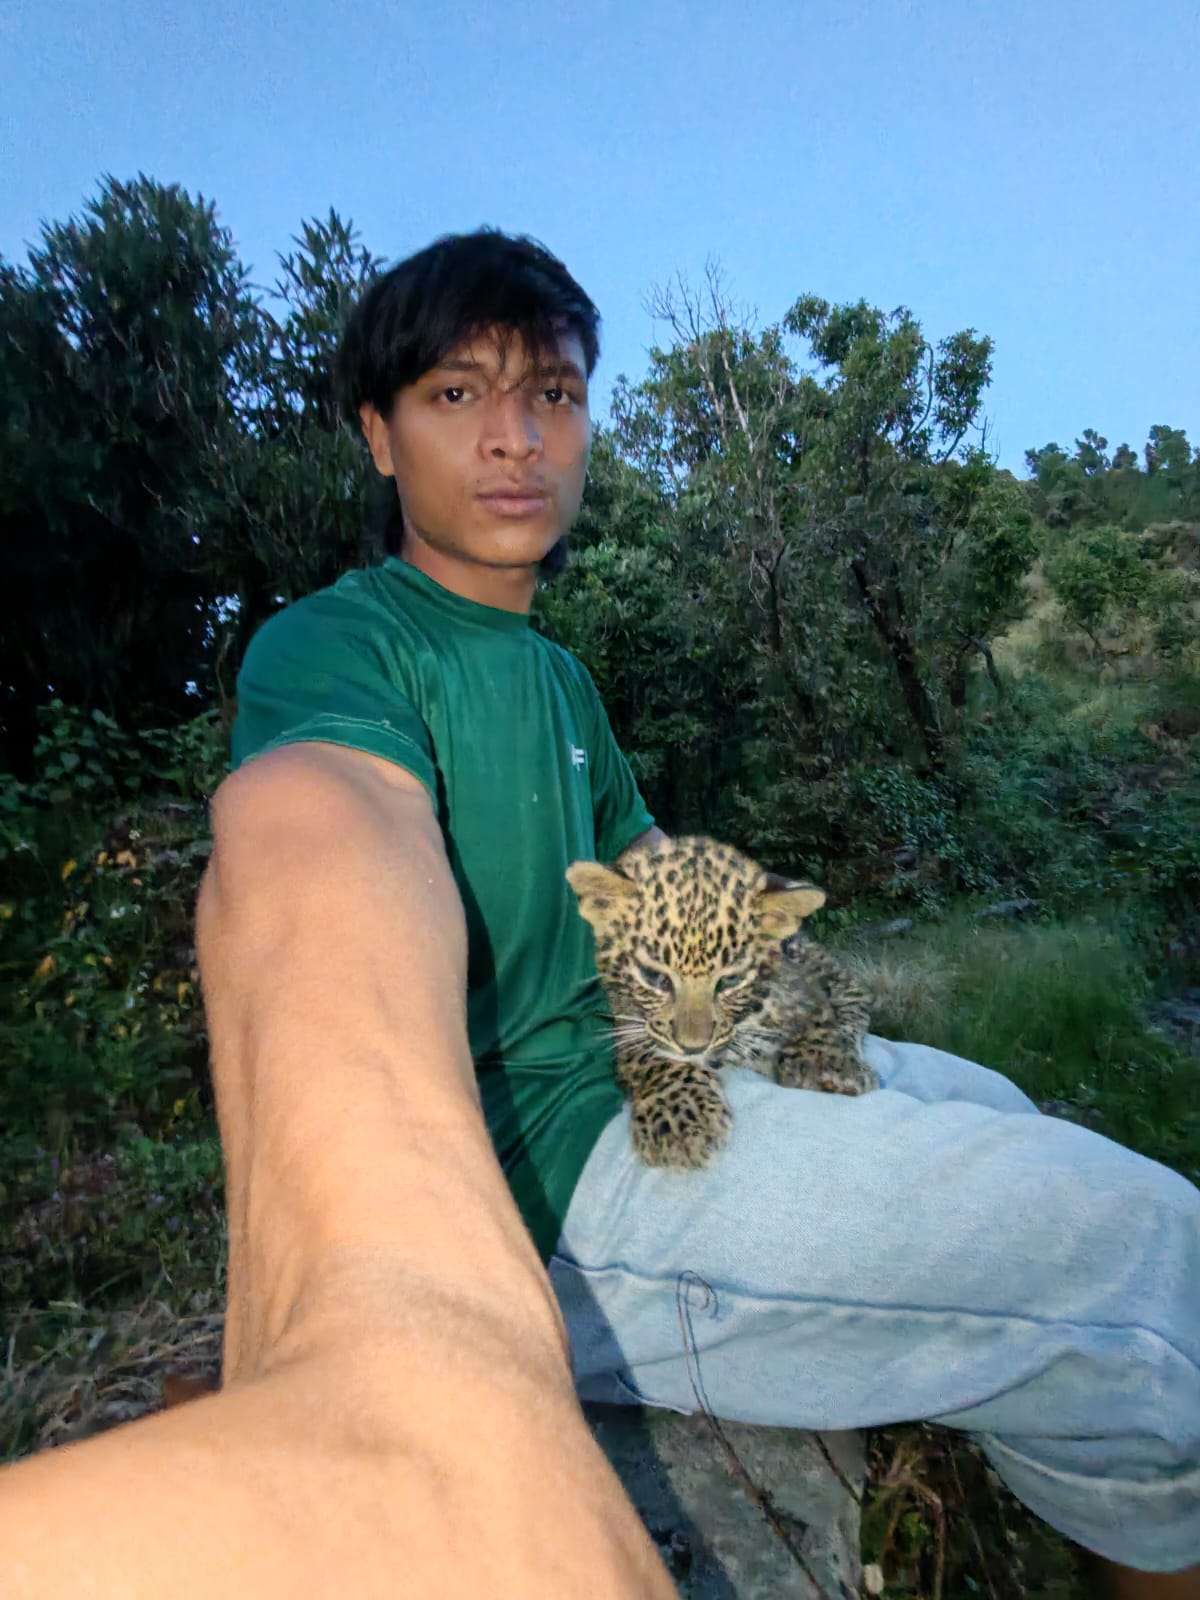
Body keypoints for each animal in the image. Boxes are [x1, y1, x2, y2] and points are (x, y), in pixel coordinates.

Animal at [566, 834, 878, 1171]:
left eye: (730, 981)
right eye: (654, 977)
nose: (693, 1048)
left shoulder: (798, 980)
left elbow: (817, 1014)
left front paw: (830, 1064)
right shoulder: (627, 1021)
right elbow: (651, 1054)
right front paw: (679, 1116)